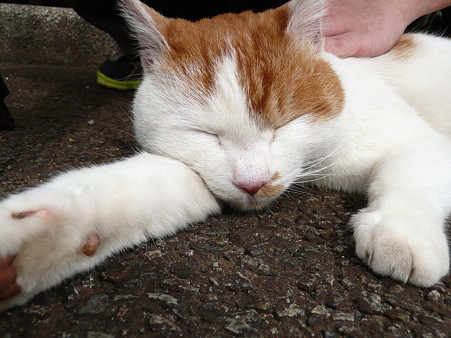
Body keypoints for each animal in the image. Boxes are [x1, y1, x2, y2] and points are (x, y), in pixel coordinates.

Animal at [0, 0, 451, 312]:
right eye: (206, 135)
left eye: (282, 125)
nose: (254, 182)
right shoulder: (192, 170)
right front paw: (32, 244)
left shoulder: (417, 140)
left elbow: (410, 169)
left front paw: (402, 231)